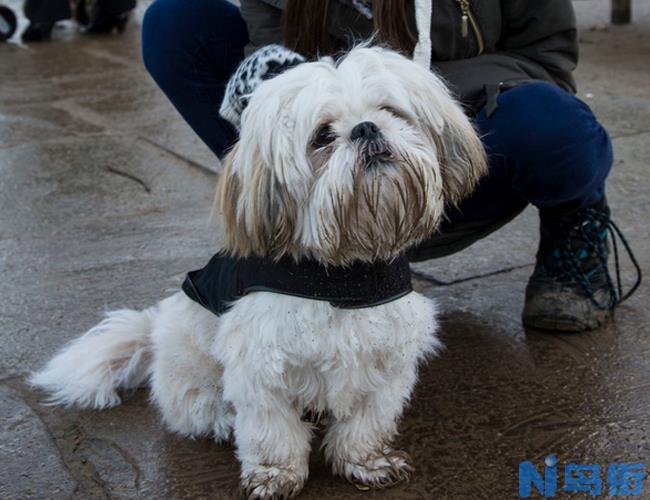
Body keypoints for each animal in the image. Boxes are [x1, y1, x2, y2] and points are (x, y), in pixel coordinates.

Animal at [31, 46, 486, 496]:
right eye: (323, 136)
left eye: (390, 110)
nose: (366, 129)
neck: (342, 274)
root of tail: (153, 331)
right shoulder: (261, 364)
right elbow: (272, 429)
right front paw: (274, 475)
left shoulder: (386, 357)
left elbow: (368, 419)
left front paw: (366, 461)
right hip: (191, 361)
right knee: (193, 406)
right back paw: (219, 418)